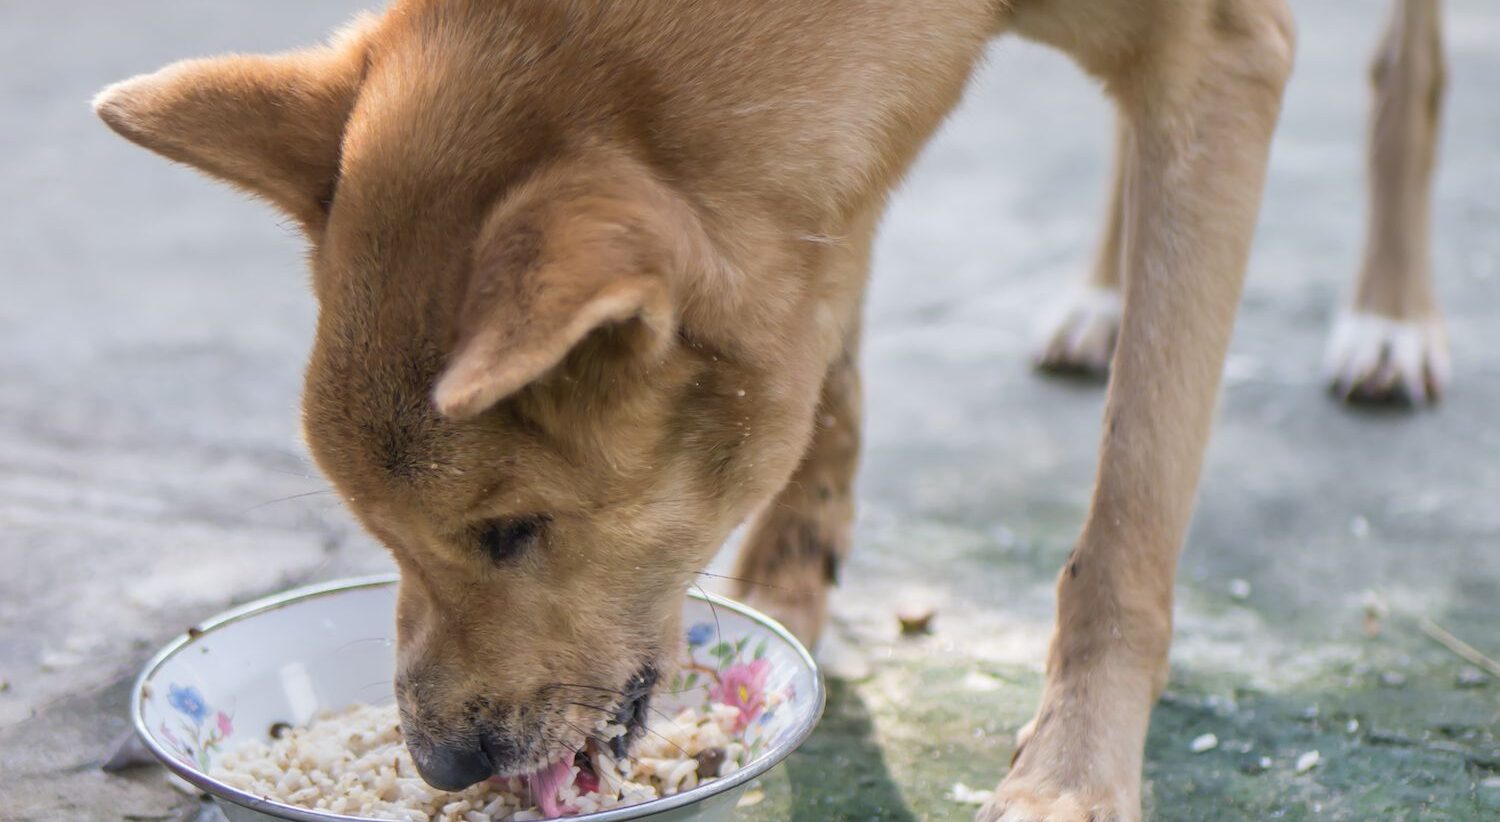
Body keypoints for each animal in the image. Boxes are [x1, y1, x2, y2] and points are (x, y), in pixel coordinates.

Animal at [93, 0, 1296, 816]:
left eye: (512, 529)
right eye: (378, 532)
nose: (439, 765)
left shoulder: (1223, 55)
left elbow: (1129, 516)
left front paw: (1072, 772)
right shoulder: (832, 194)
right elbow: (824, 367)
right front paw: (787, 587)